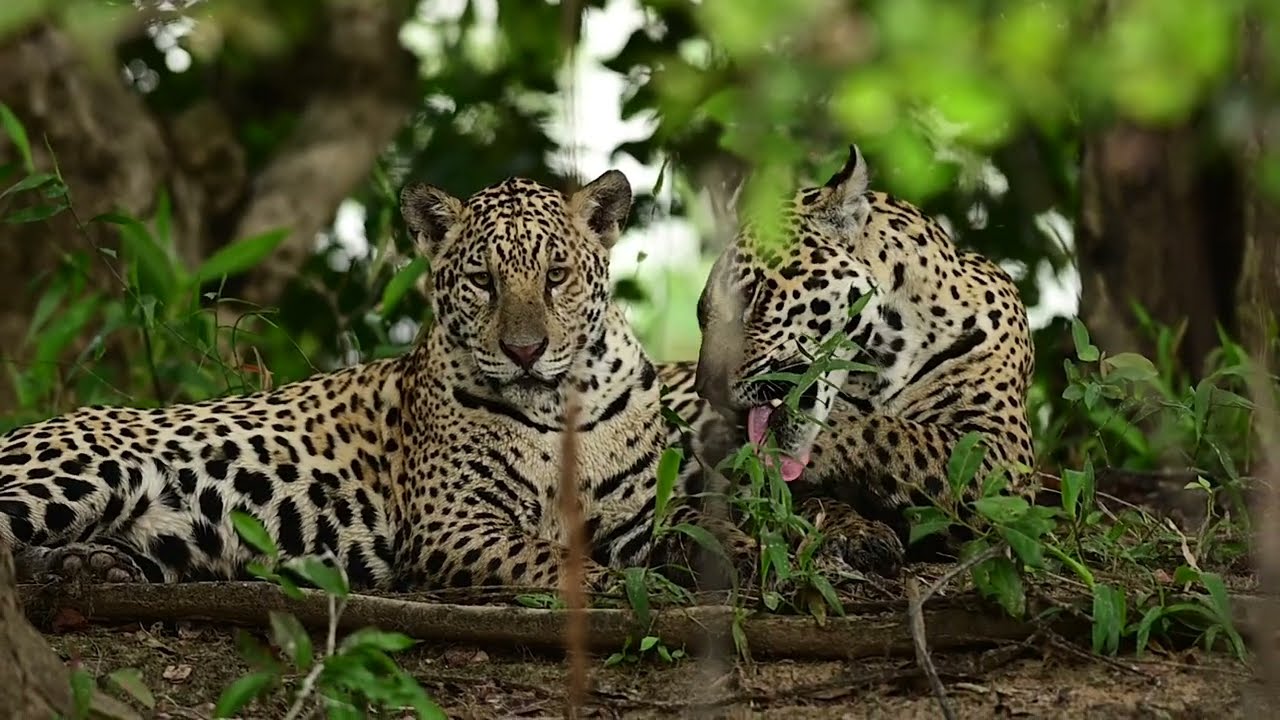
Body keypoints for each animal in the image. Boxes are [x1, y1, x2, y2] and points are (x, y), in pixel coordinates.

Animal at [0, 169, 752, 593]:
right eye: (482, 282)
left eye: (556, 276)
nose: (525, 350)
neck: (558, 402)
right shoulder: (454, 524)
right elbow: (547, 557)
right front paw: (612, 584)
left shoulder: (632, 515)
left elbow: (691, 522)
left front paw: (743, 553)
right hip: (87, 469)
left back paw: (84, 568)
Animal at [692, 143, 1037, 575]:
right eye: (701, 316)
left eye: (751, 295)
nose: (706, 389)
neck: (888, 356)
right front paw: (853, 533)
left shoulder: (1002, 453)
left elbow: (893, 433)